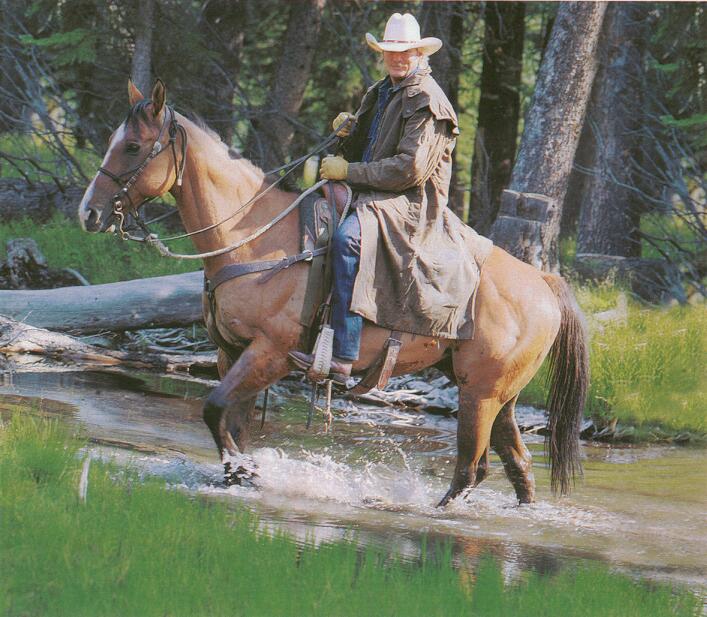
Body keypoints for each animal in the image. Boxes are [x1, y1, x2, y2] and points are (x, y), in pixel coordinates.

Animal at [78, 81, 589, 507]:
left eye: (133, 146)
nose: (89, 213)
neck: (254, 238)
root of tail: (542, 284)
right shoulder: (231, 353)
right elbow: (233, 424)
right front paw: (240, 475)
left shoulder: (270, 354)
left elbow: (214, 409)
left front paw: (245, 473)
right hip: (496, 395)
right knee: (517, 466)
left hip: (480, 395)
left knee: (470, 470)